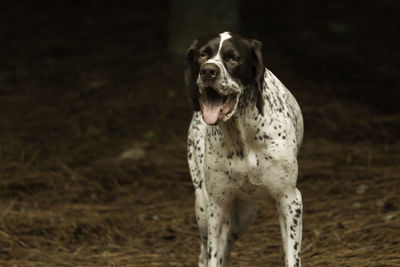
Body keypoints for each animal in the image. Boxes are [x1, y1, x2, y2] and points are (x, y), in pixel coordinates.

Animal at [184, 31, 304, 267]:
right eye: (202, 55)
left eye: (233, 58)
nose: (208, 71)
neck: (241, 135)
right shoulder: (218, 207)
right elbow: (213, 258)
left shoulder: (289, 200)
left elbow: (292, 257)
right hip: (205, 207)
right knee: (205, 253)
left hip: (244, 213)